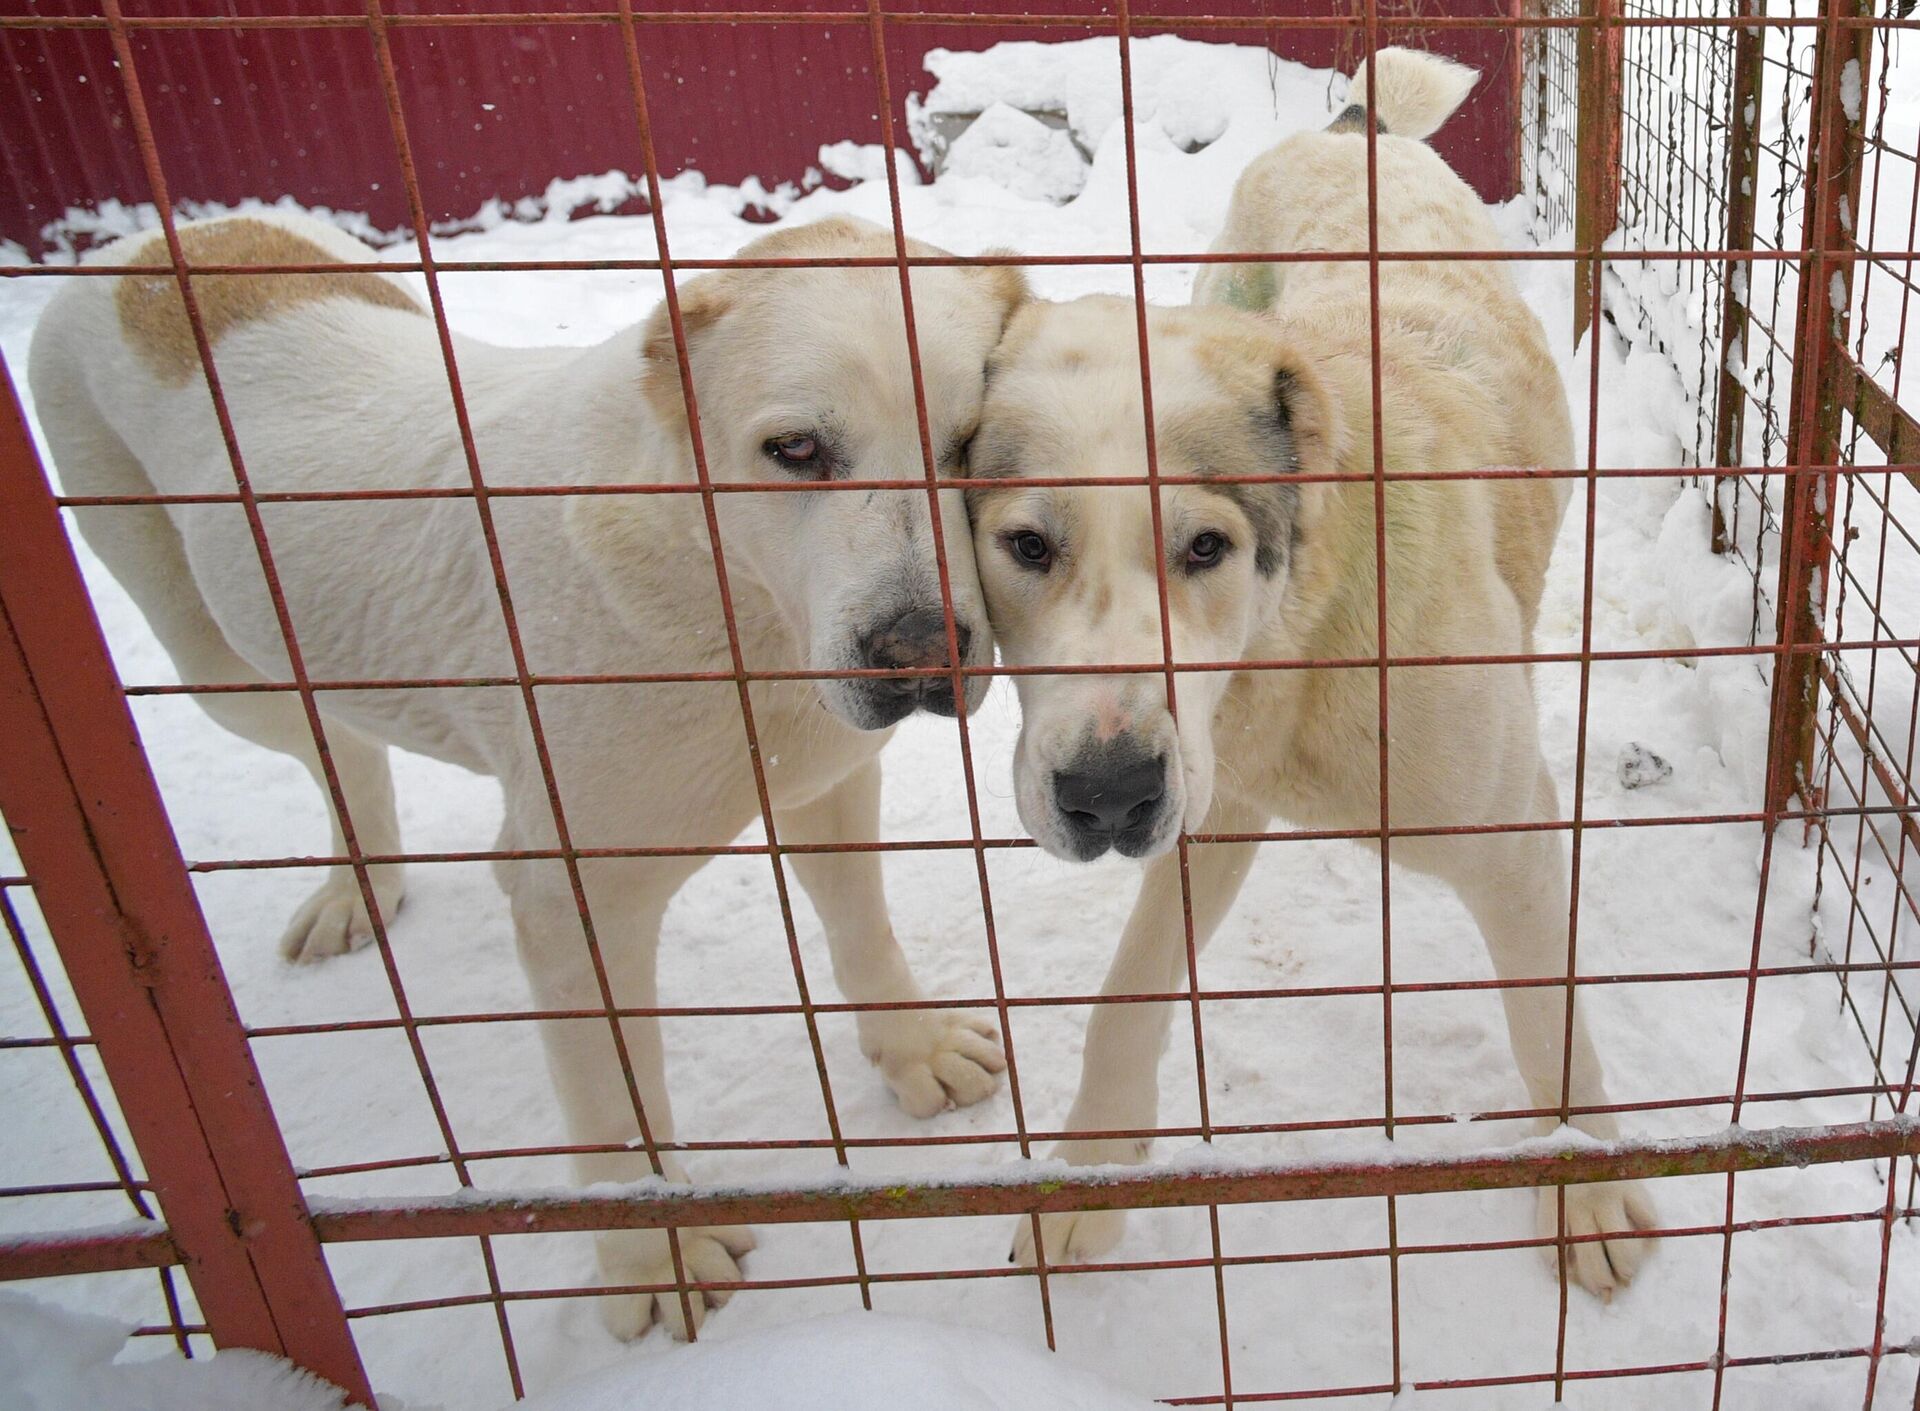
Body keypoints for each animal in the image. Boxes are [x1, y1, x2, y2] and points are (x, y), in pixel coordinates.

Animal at [26, 209, 1021, 1336]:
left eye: (970, 447)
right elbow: (616, 1096)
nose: (921, 650)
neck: (726, 589)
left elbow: (862, 932)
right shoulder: (572, 903)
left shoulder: (824, 778)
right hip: (217, 663)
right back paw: (352, 885)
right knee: (335, 740)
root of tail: (147, 247)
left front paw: (913, 1047)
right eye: (797, 450)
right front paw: (653, 1252)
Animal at [967, 47, 1658, 1305]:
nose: (1106, 798)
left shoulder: (1512, 837)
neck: (1301, 641)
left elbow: (1551, 1015)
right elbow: (1124, 995)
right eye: (1027, 546)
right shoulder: (1209, 798)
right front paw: (1090, 1167)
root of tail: (1348, 130)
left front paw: (1585, 1185)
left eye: (1206, 547)